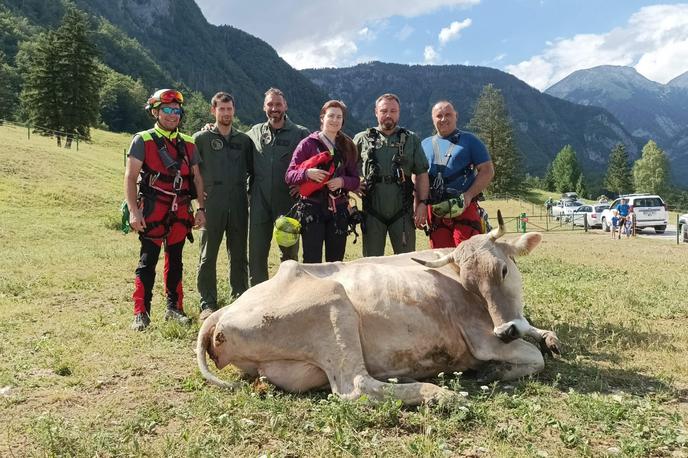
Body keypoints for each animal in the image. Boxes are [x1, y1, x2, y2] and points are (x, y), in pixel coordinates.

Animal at [196, 213, 560, 406]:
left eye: (504, 269)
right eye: (470, 285)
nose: (505, 330)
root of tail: (222, 311)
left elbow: (535, 334)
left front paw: (547, 336)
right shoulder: (481, 337)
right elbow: (534, 357)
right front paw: (494, 370)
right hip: (334, 306)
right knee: (356, 386)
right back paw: (438, 394)